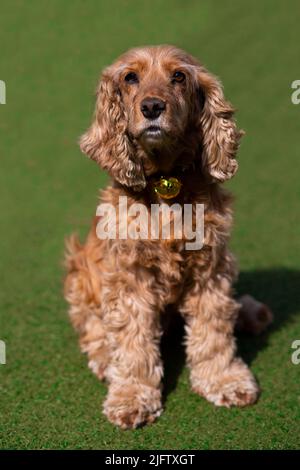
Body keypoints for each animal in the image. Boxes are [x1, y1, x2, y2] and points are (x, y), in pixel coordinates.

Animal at [64, 46, 274, 428]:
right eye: (130, 77)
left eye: (178, 76)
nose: (151, 107)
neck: (165, 182)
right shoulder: (130, 275)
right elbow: (132, 342)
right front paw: (131, 397)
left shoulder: (210, 266)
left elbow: (214, 329)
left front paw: (225, 380)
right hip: (80, 272)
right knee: (91, 326)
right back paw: (104, 359)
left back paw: (251, 312)